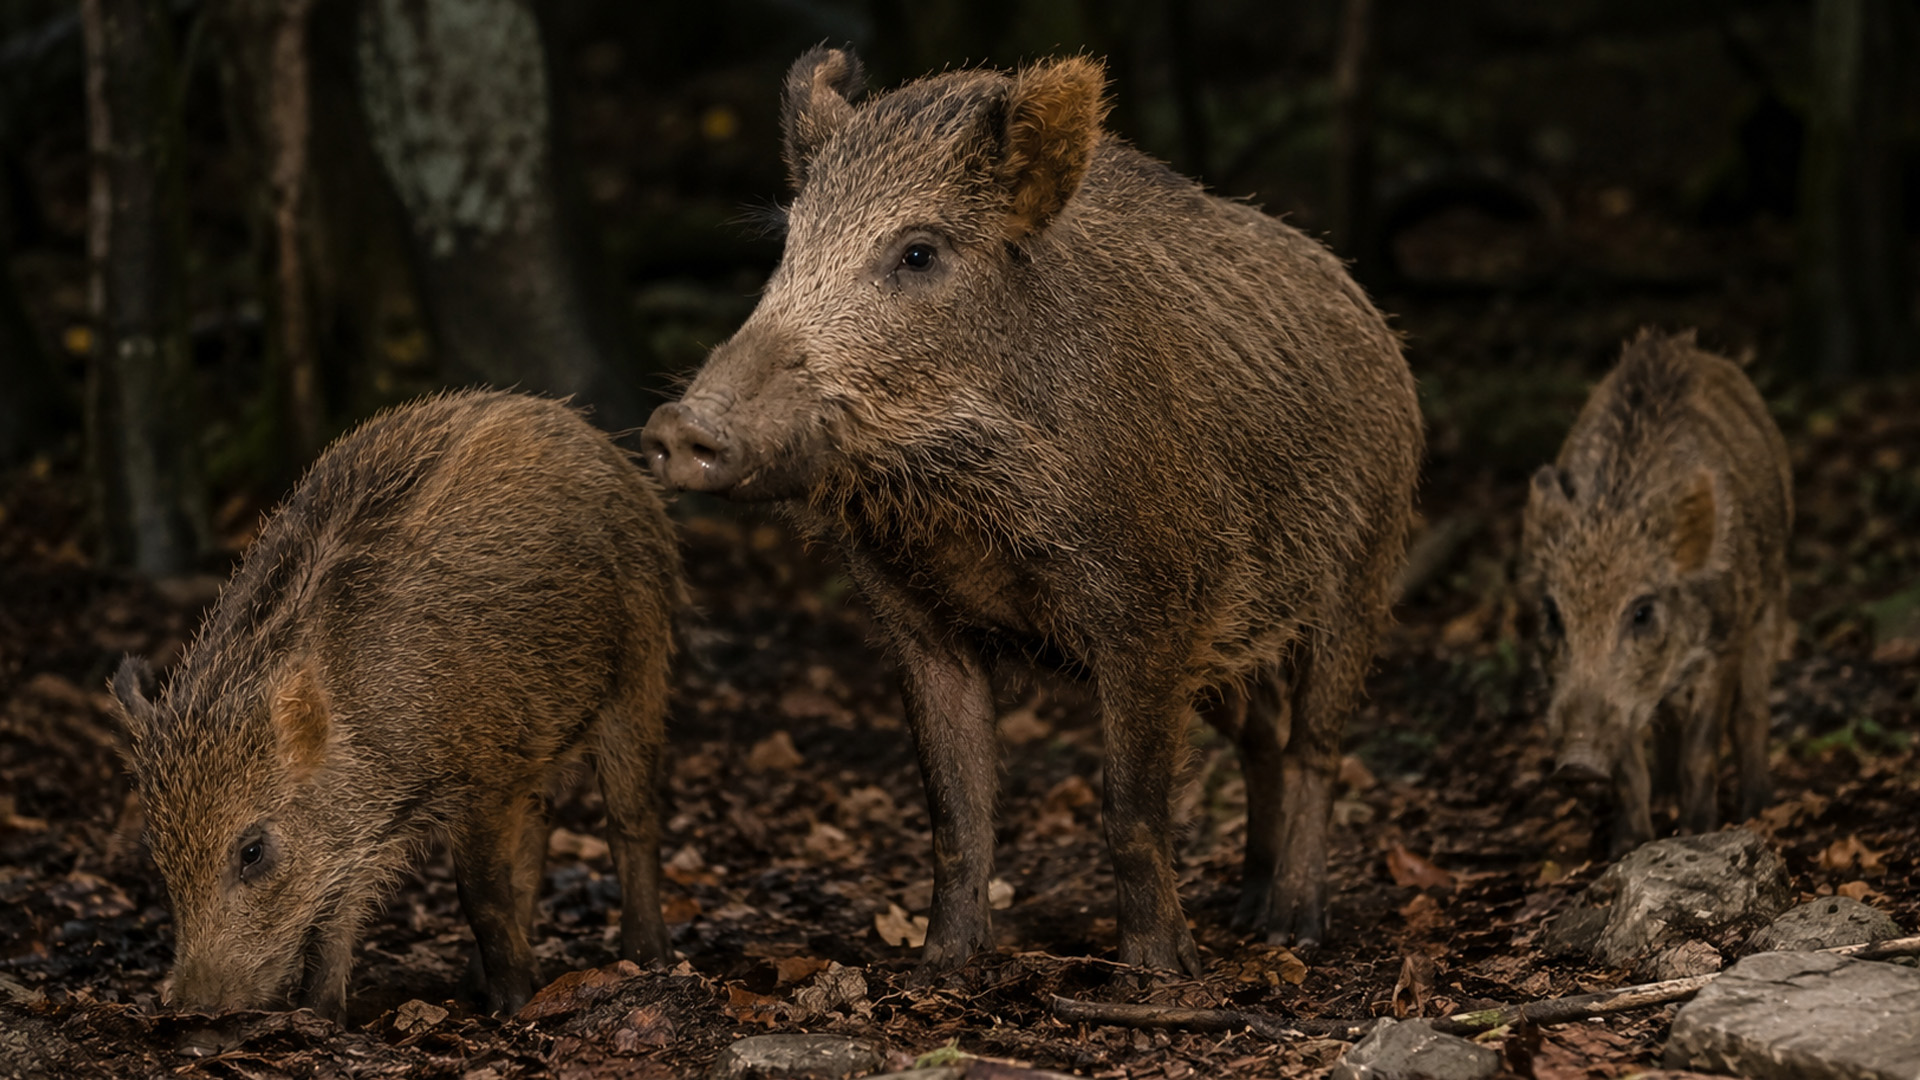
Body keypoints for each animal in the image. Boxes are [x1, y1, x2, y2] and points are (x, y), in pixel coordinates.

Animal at [110, 390, 683, 1019]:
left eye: (252, 851)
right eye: (156, 855)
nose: (190, 1007)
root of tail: (591, 436)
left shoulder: (481, 776)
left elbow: (479, 894)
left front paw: (512, 1007)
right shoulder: (365, 829)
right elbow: (334, 918)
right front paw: (319, 1016)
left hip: (640, 667)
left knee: (630, 821)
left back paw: (648, 959)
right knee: (539, 834)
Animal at [641, 49, 1422, 974]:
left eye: (918, 252)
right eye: (788, 245)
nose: (676, 427)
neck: (965, 510)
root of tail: (1367, 311)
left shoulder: (1154, 610)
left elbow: (1130, 809)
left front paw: (1160, 973)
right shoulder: (918, 625)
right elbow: (954, 814)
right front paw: (943, 967)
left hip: (1365, 568)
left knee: (1316, 746)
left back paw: (1290, 928)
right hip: (1239, 634)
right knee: (1262, 738)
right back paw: (1246, 910)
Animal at [1521, 330, 1791, 856]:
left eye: (1642, 612)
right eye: (1553, 615)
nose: (1576, 765)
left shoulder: (1722, 643)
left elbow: (1701, 748)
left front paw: (1700, 832)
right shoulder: (1625, 702)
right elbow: (1631, 769)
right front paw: (1627, 848)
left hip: (1773, 595)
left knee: (1751, 710)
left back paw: (1758, 807)